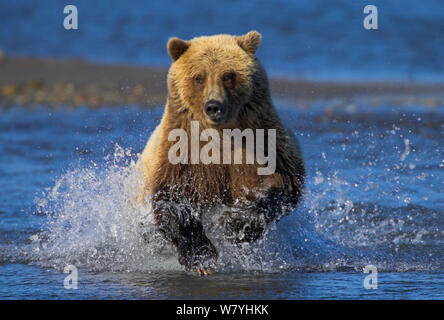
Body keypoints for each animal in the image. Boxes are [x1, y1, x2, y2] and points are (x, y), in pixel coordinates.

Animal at [138, 30, 306, 276]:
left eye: (228, 75)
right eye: (199, 77)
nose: (213, 106)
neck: (221, 135)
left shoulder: (264, 146)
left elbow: (280, 188)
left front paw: (231, 224)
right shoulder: (181, 154)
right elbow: (171, 202)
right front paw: (201, 259)